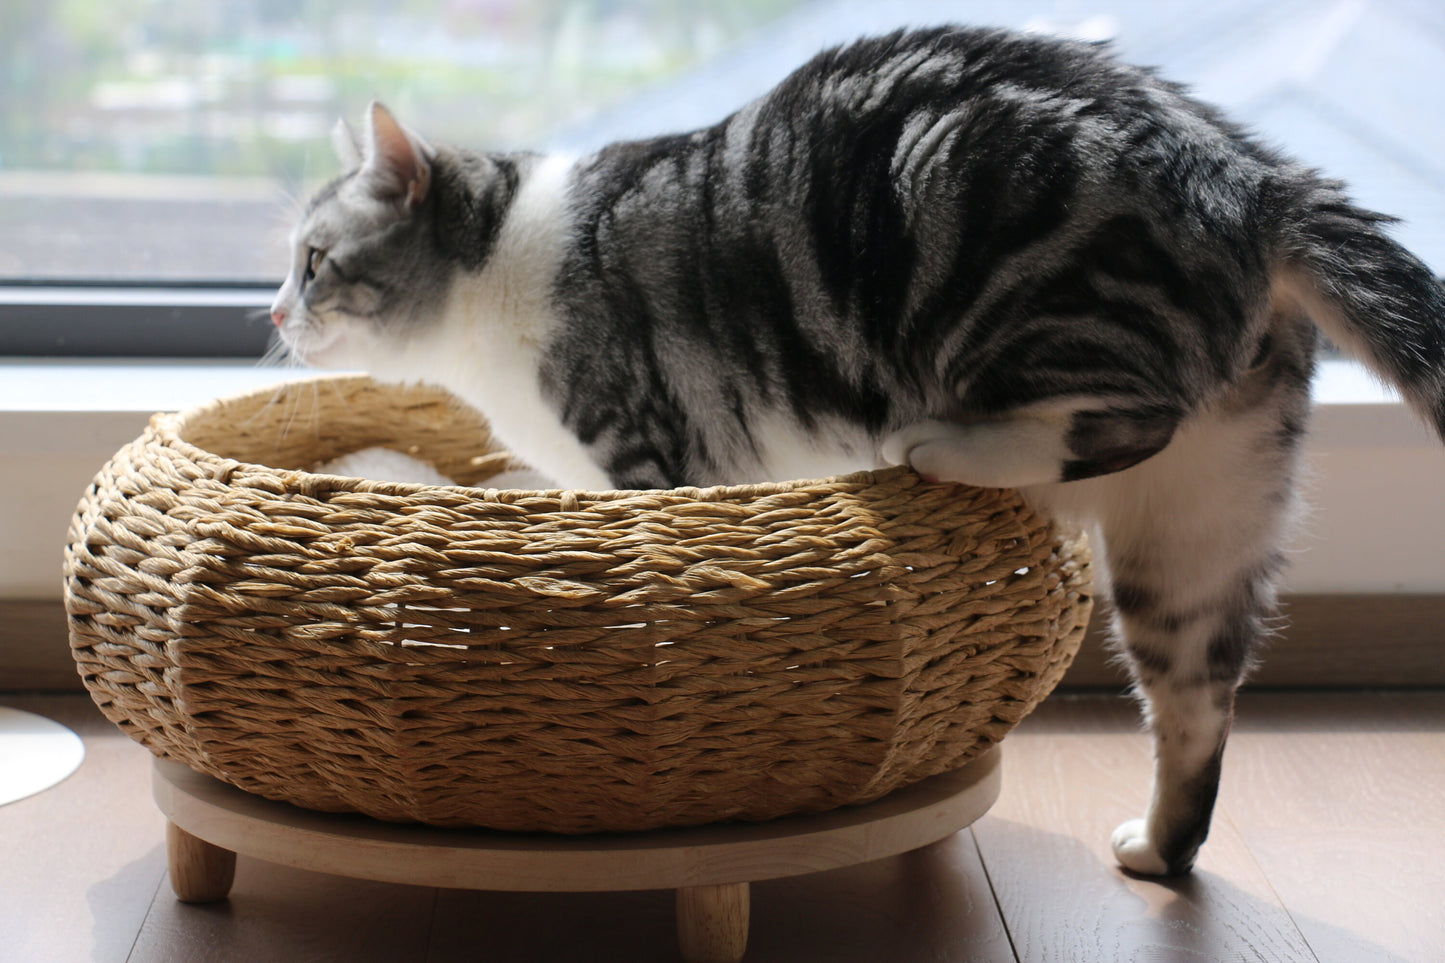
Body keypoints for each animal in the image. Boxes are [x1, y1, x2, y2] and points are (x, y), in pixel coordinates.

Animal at [271, 26, 1445, 873]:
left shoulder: (643, 449)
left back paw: (948, 447)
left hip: (993, 261)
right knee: (1198, 699)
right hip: (1204, 519)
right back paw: (1160, 849)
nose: (273, 314)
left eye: (315, 261)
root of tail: (1250, 177)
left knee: (1124, 411)